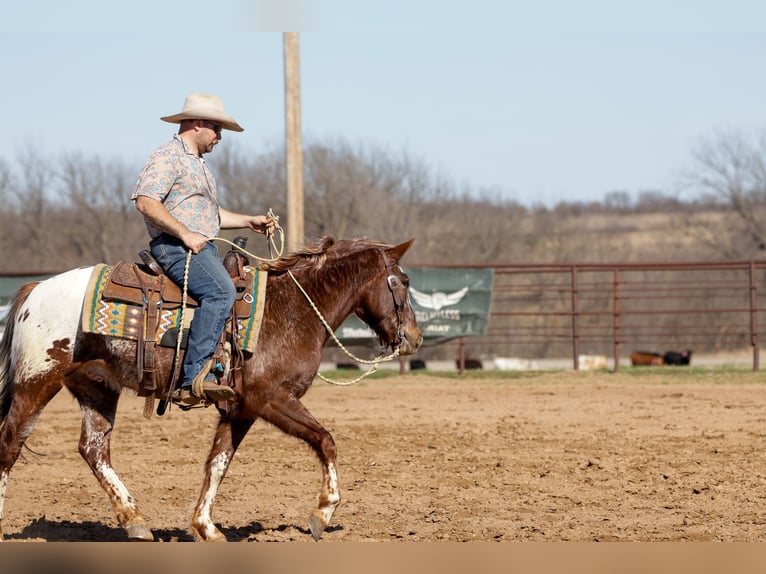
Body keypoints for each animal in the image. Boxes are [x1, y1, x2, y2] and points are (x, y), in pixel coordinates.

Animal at [0, 236, 422, 542]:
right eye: (402, 282)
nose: (415, 338)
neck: (292, 309)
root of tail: (36, 289)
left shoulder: (241, 408)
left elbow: (218, 463)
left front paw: (206, 527)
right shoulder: (271, 398)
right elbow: (325, 440)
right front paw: (323, 512)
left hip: (96, 386)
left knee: (94, 450)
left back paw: (136, 521)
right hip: (37, 381)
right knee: (10, 443)